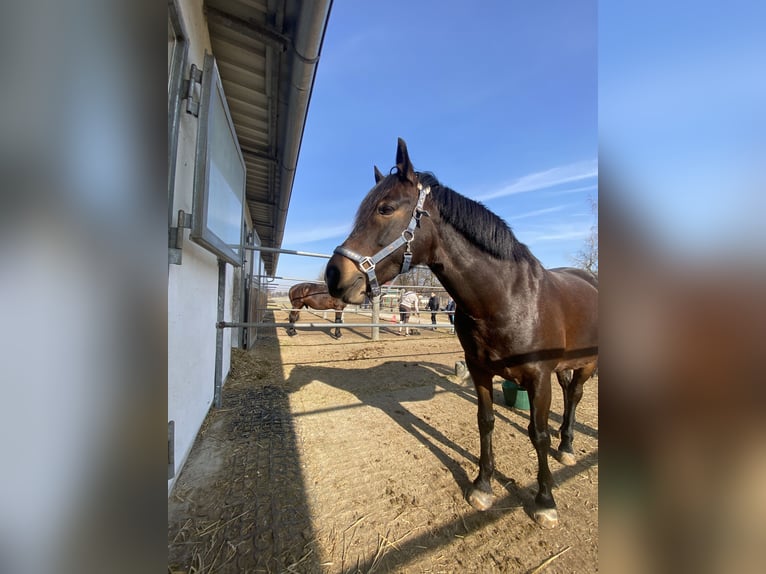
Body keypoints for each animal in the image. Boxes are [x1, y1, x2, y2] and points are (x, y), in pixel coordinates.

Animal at [324, 140, 600, 532]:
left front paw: (545, 500)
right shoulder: (480, 371)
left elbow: (538, 434)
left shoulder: (538, 378)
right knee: (568, 396)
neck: (508, 298)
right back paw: (565, 444)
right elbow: (486, 422)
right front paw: (483, 485)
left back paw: (567, 447)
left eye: (386, 208)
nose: (333, 274)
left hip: (587, 364)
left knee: (574, 396)